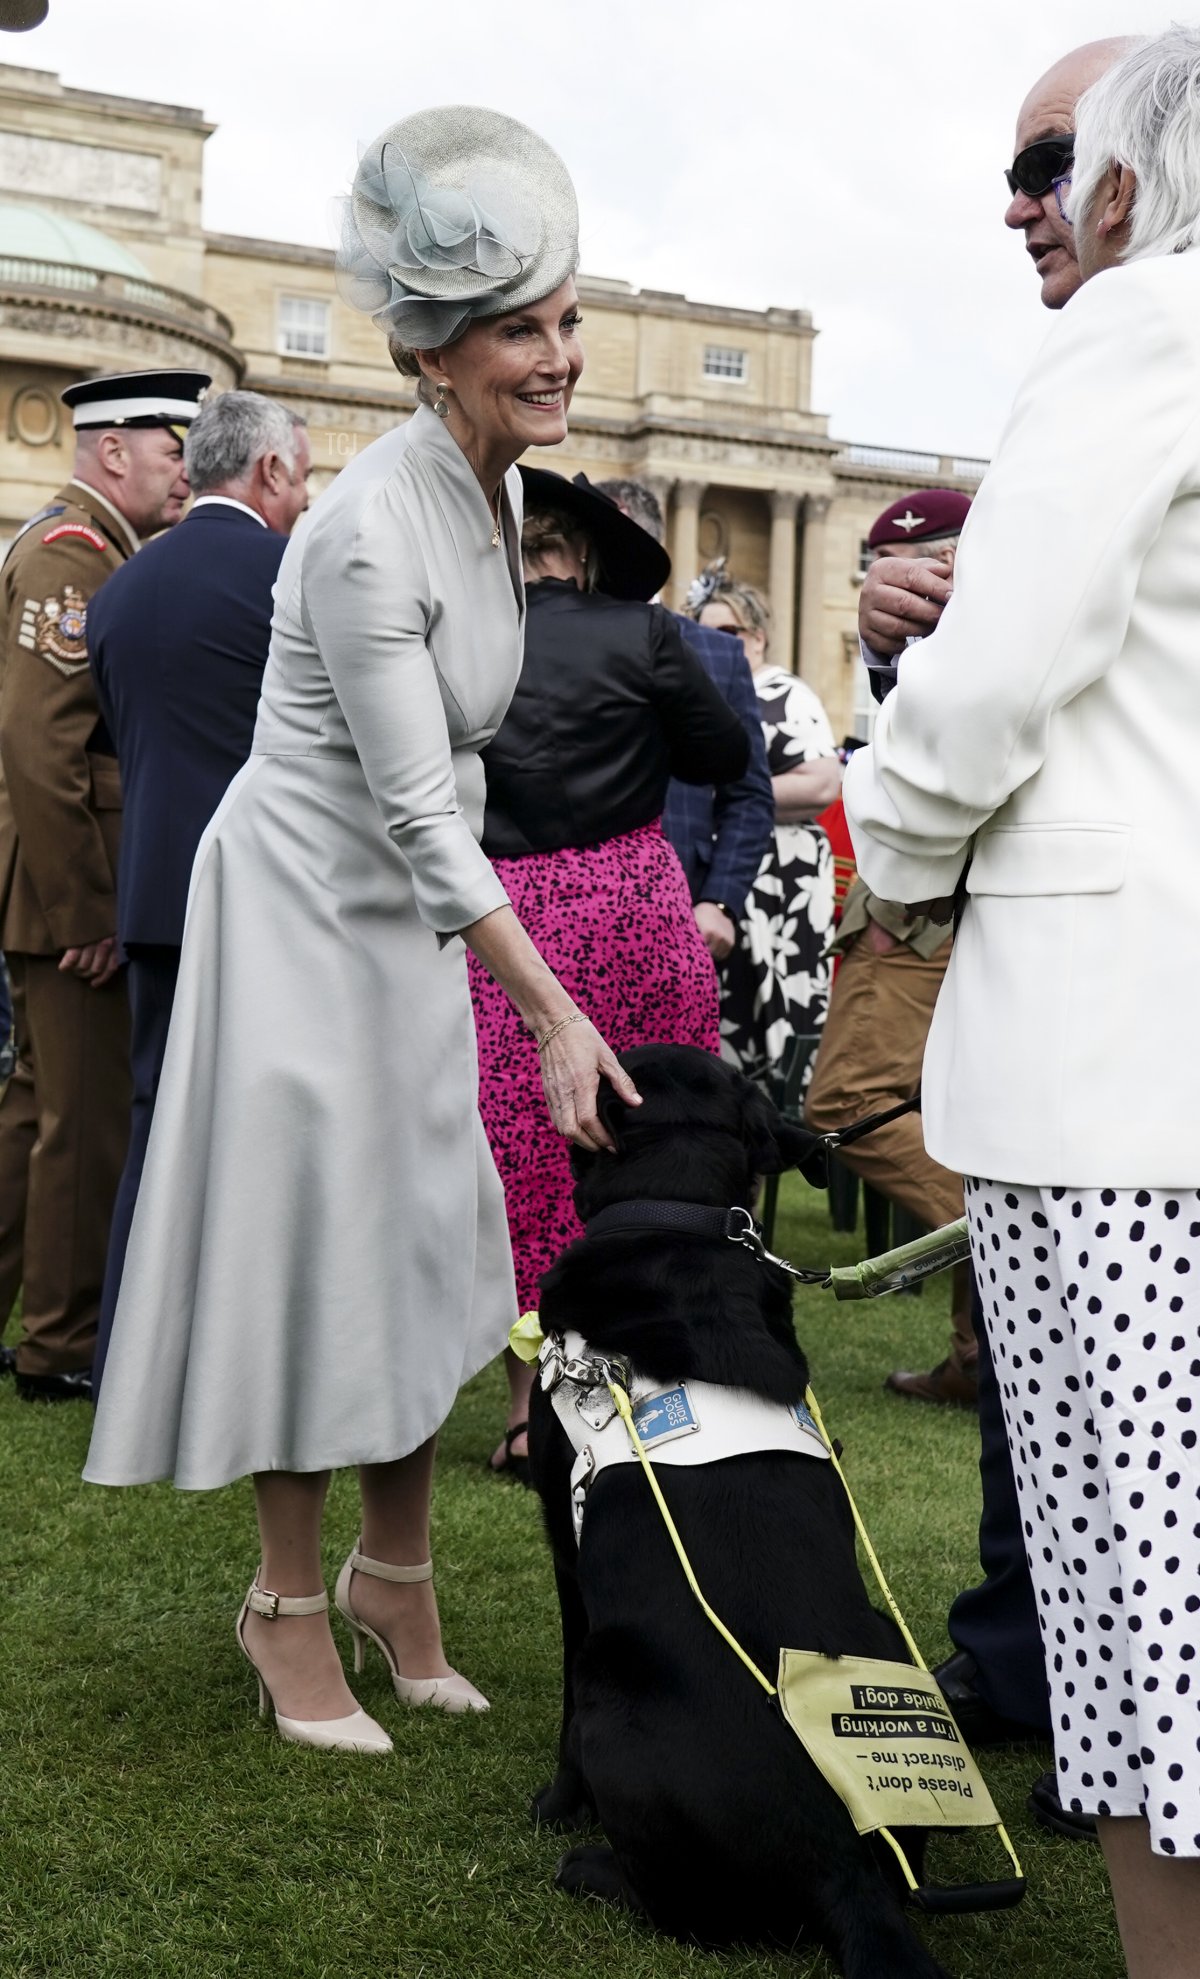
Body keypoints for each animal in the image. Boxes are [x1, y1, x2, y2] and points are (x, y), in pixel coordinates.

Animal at [530, 1044, 954, 1979]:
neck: (676, 1223)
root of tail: (845, 1873)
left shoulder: (565, 1544)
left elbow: (563, 1703)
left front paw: (555, 1802)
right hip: (885, 1632)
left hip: (617, 1679)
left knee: (680, 1911)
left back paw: (589, 1866)